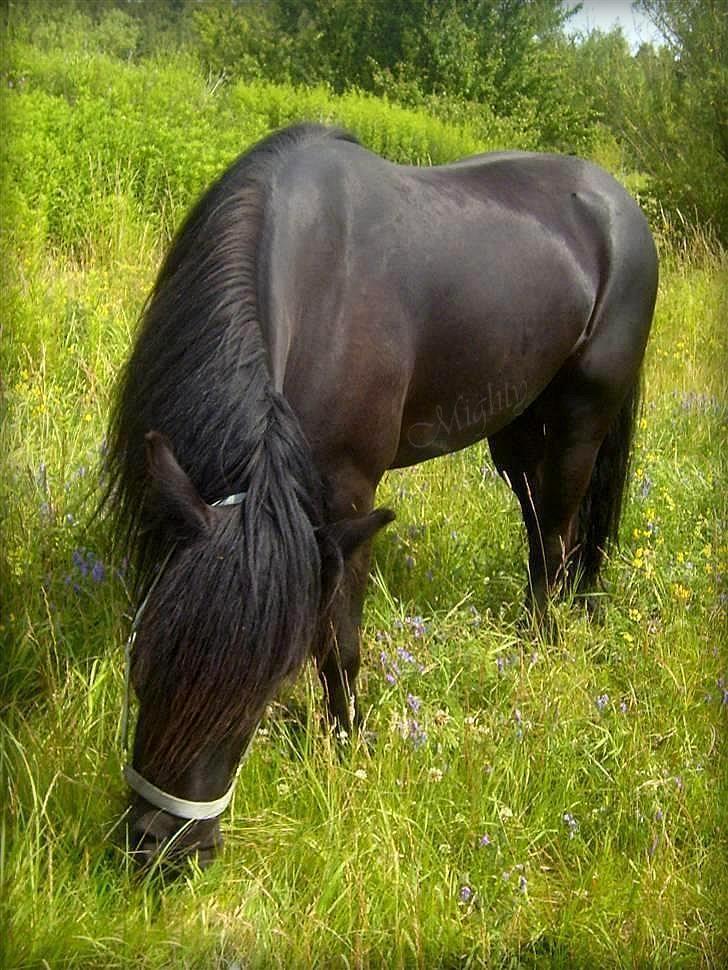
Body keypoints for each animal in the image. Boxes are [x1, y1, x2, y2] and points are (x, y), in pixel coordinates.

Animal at [105, 123, 657, 869]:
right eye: (145, 658)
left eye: (259, 695)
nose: (160, 848)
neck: (318, 280)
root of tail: (618, 202)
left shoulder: (349, 497)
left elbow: (340, 641)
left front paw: (345, 743)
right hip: (517, 427)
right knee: (539, 521)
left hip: (581, 419)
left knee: (560, 531)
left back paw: (542, 642)